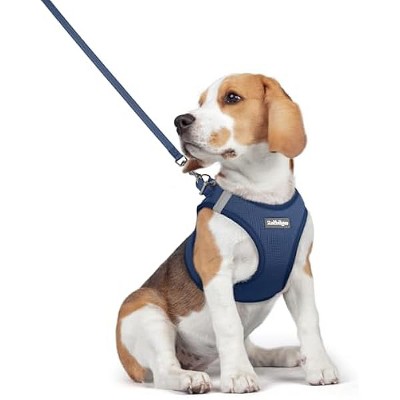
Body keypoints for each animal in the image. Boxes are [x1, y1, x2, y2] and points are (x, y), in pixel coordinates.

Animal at [116, 73, 338, 393]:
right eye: (200, 103)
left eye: (232, 98)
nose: (180, 121)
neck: (261, 192)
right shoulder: (217, 273)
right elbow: (229, 325)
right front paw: (239, 376)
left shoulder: (300, 272)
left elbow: (310, 321)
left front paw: (319, 366)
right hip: (147, 312)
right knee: (163, 371)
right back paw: (189, 378)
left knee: (250, 346)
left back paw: (283, 354)